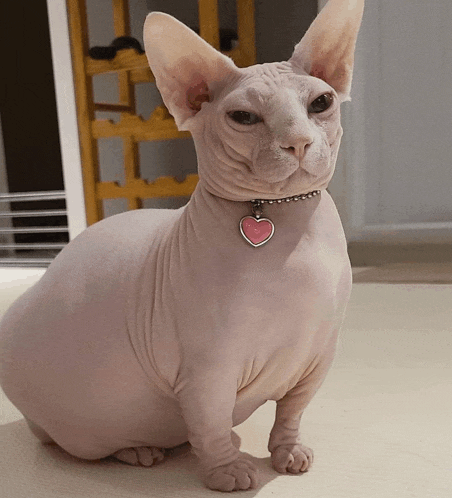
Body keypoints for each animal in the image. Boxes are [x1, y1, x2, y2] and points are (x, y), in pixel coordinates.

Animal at [0, 0, 364, 490]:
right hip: (78, 426)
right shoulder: (207, 372)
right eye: (244, 118)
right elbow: (210, 425)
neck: (287, 221)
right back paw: (137, 450)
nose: (299, 142)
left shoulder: (316, 360)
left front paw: (287, 452)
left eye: (321, 103)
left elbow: (290, 413)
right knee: (71, 441)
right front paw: (227, 470)